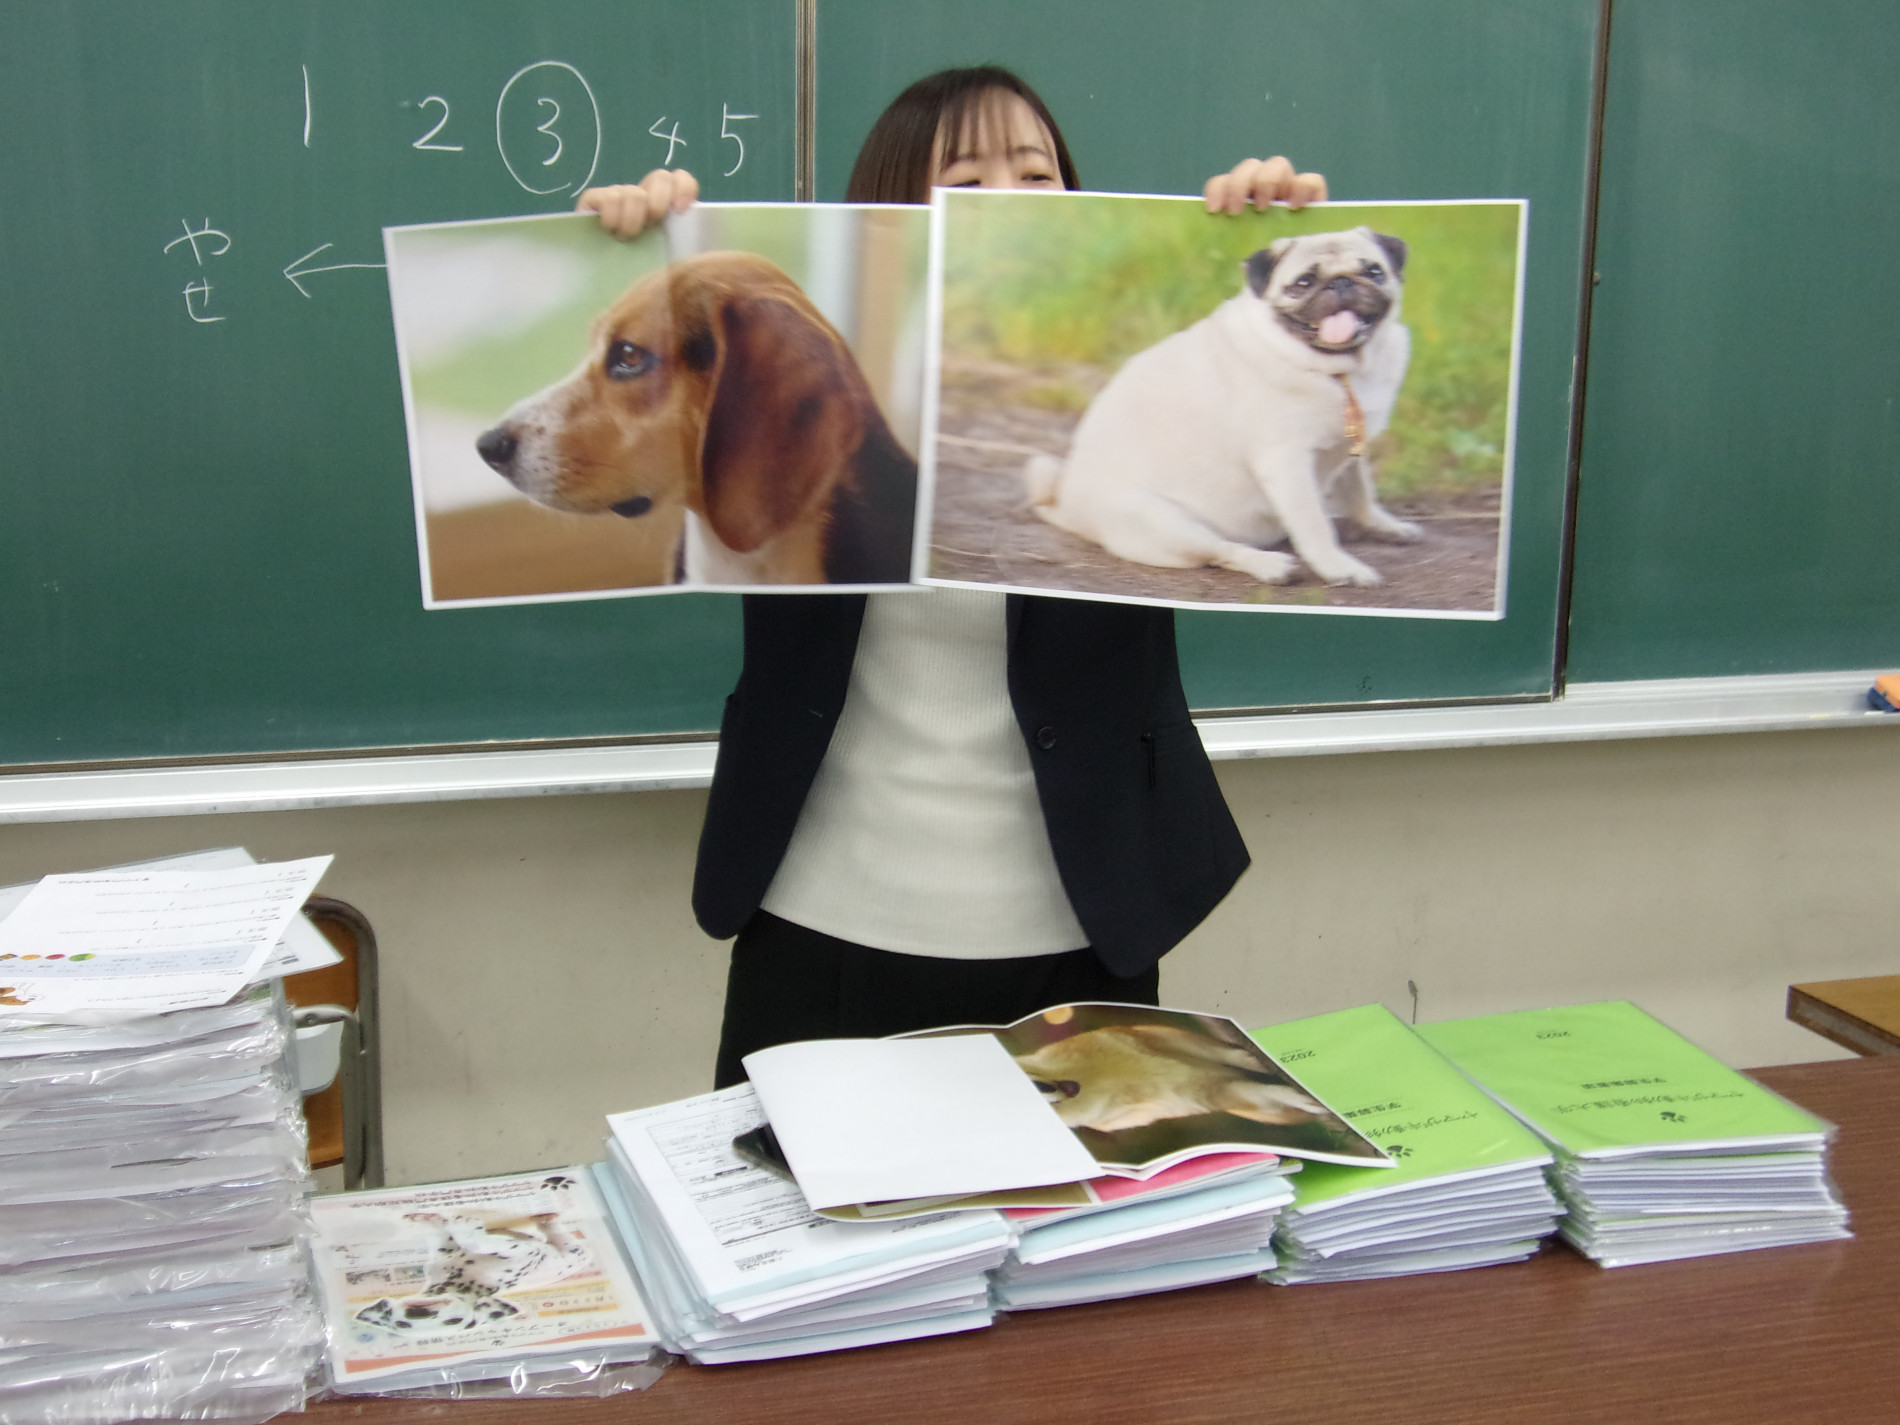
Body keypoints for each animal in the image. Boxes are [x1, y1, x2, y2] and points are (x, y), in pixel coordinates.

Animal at [1026, 222, 1428, 585]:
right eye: (1303, 283)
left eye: (1373, 271)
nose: (1342, 282)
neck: (1339, 373)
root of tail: (1065, 503)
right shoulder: (1286, 462)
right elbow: (1311, 523)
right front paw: (1339, 567)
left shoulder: (1350, 448)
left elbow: (1361, 494)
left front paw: (1384, 525)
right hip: (1163, 523)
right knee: (1222, 550)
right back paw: (1269, 564)